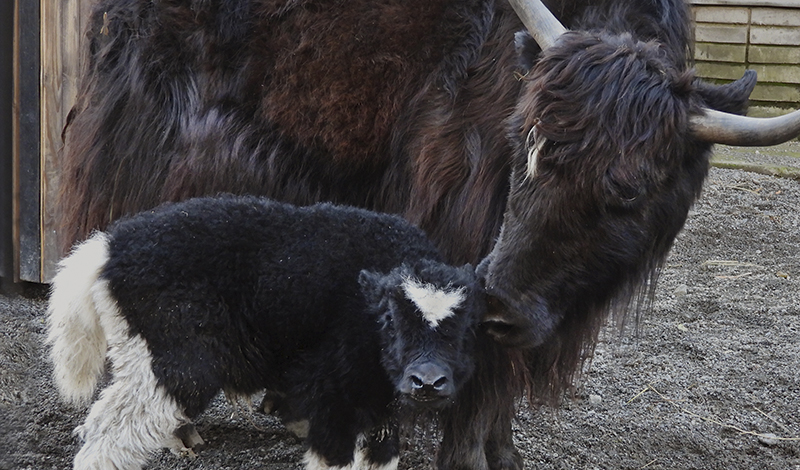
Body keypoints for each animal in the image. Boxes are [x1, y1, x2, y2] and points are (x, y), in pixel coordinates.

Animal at [47, 195, 484, 470]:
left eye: (464, 330)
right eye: (392, 321)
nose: (427, 382)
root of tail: (107, 249)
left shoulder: (379, 403)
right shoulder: (334, 394)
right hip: (177, 362)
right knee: (111, 433)